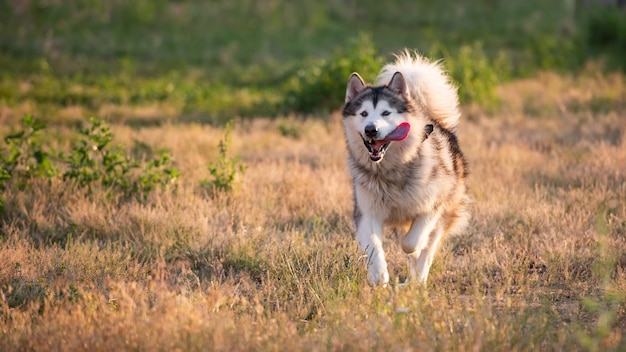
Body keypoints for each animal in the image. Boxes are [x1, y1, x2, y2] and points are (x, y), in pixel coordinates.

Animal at [342, 49, 468, 286]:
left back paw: (418, 280)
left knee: (428, 249)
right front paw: (379, 276)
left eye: (386, 113)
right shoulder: (367, 211)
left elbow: (412, 243)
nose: (371, 130)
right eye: (363, 114)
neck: (392, 169)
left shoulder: (433, 206)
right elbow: (374, 246)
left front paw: (414, 251)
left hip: (446, 213)